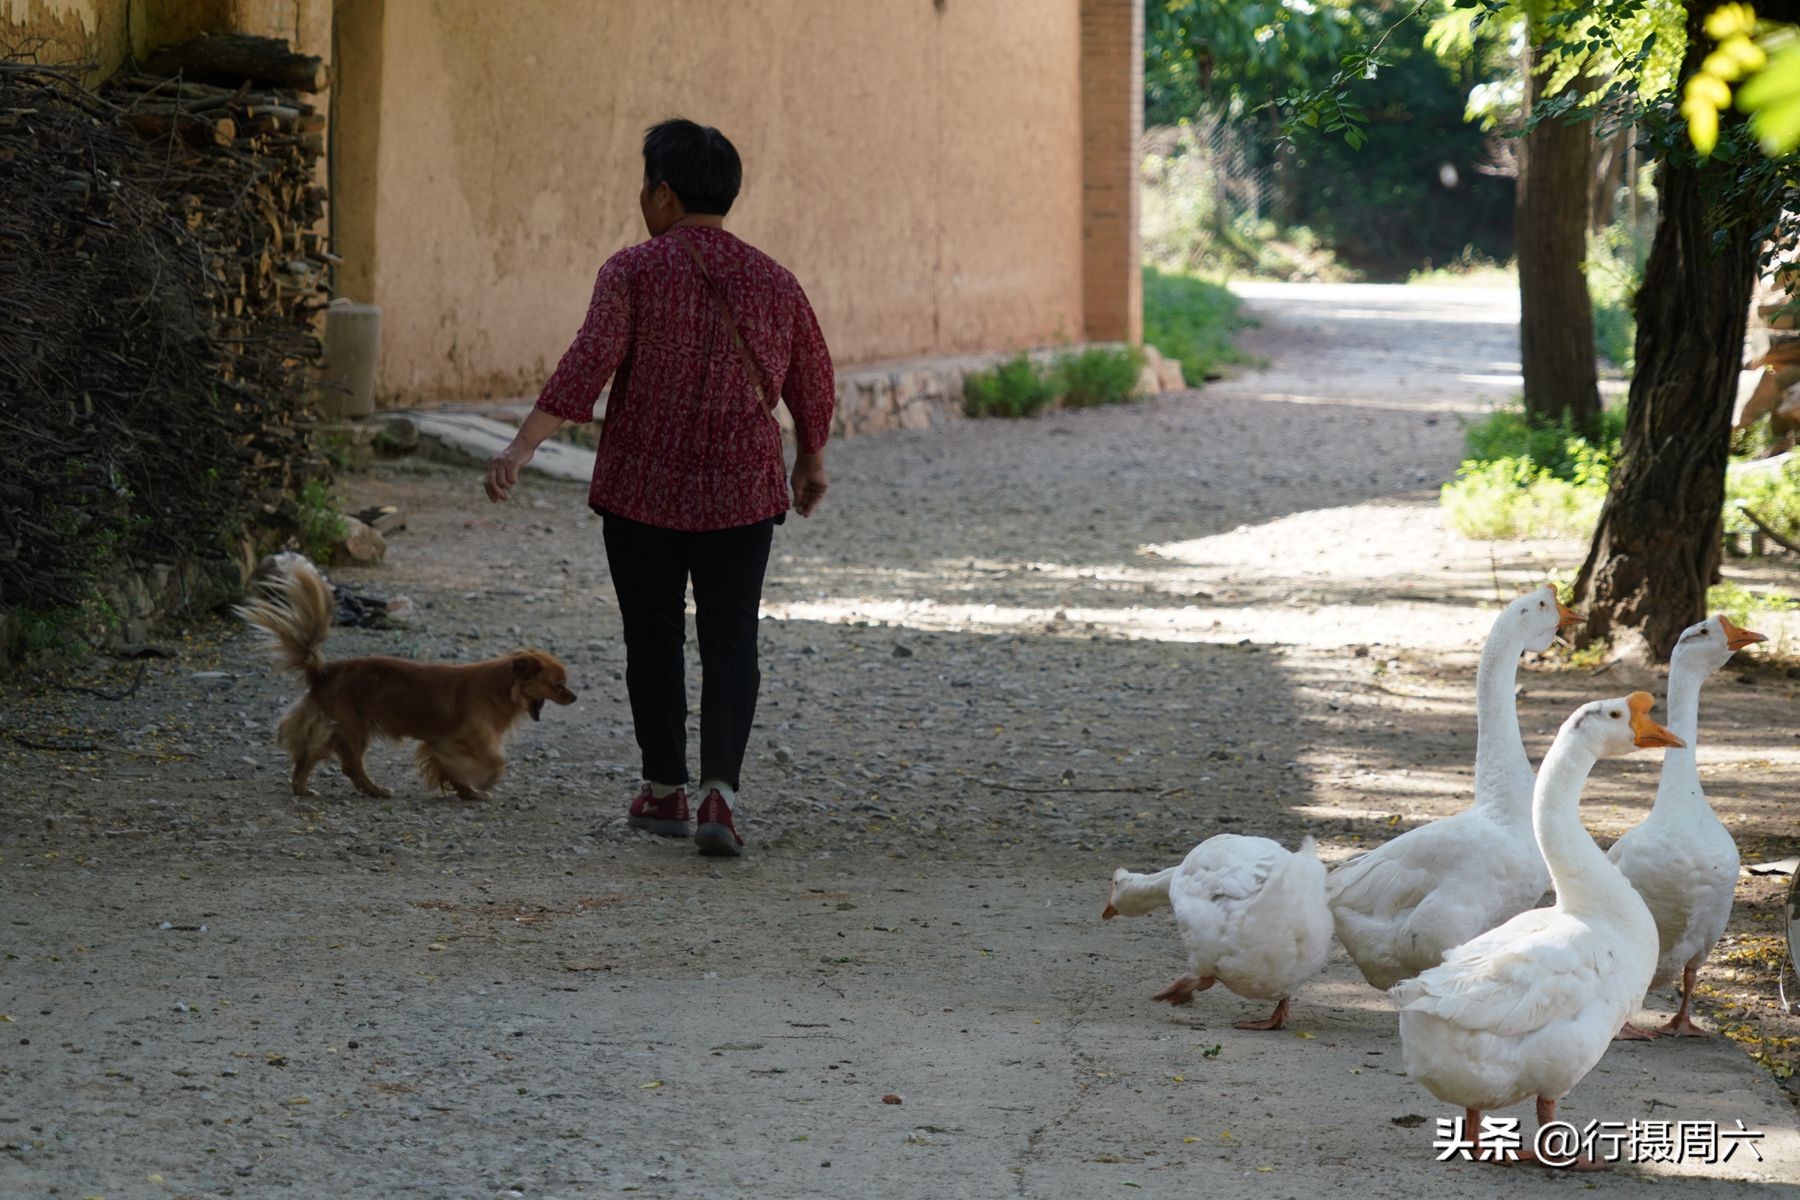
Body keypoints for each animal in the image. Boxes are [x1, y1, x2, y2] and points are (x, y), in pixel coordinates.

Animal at [230, 557, 568, 802]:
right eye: (559, 685)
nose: (574, 696)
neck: (499, 688)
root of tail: (324, 670)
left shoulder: (443, 743)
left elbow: (455, 771)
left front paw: (468, 792)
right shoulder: (458, 739)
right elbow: (492, 762)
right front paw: (483, 784)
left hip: (331, 726)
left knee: (309, 756)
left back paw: (303, 788)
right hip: (353, 728)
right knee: (350, 764)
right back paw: (374, 790)